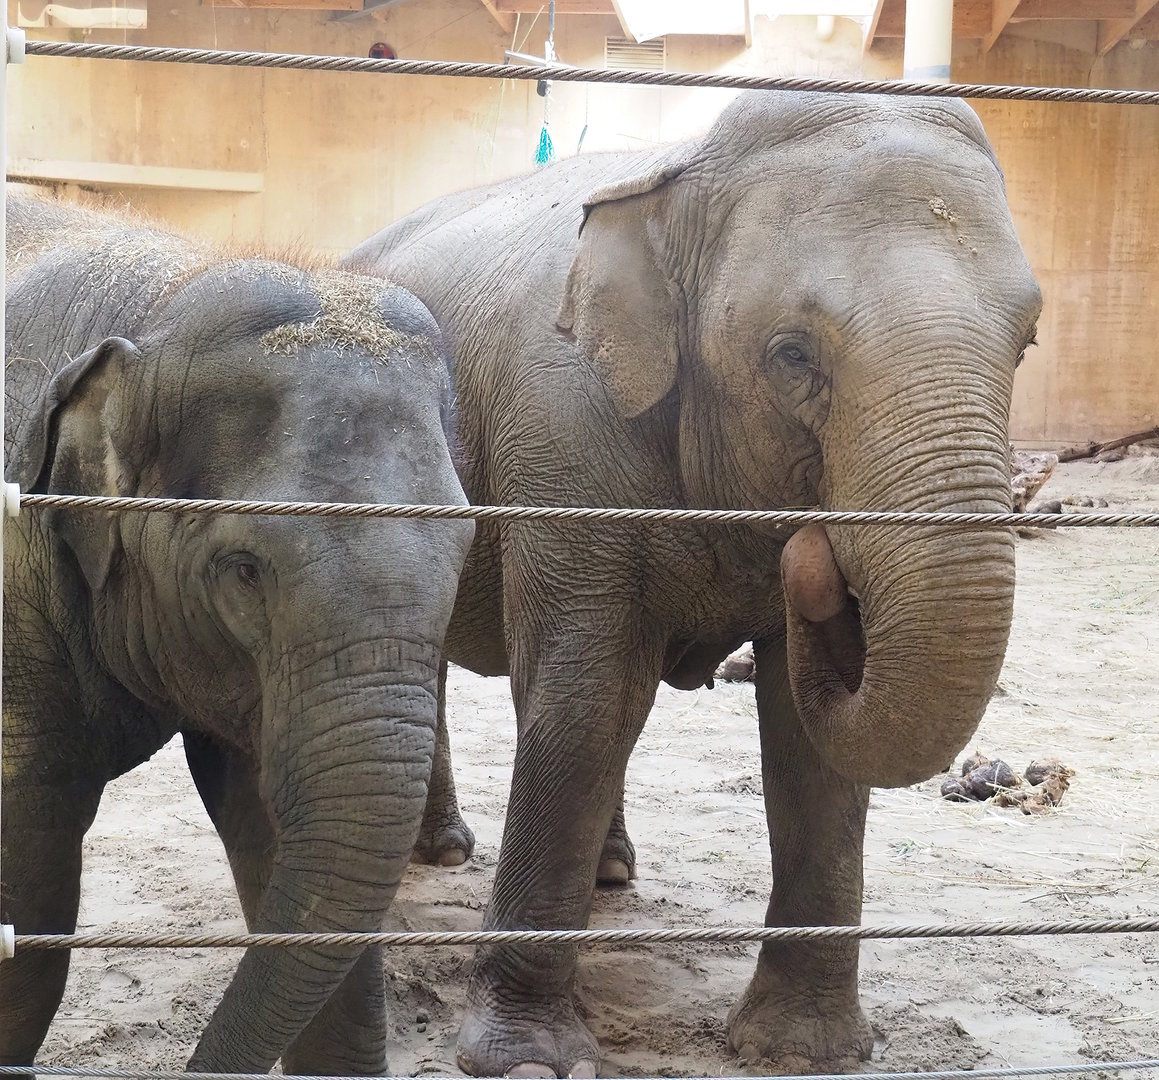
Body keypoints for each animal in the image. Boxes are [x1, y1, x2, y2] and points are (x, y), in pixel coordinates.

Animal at [345, 89, 1042, 1077]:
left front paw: (802, 1050)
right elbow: (588, 696)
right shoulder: (561, 433)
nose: (815, 554)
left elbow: (802, 734)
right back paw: (436, 859)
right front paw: (527, 1060)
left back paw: (594, 872)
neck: (681, 175)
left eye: (1026, 342)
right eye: (792, 354)